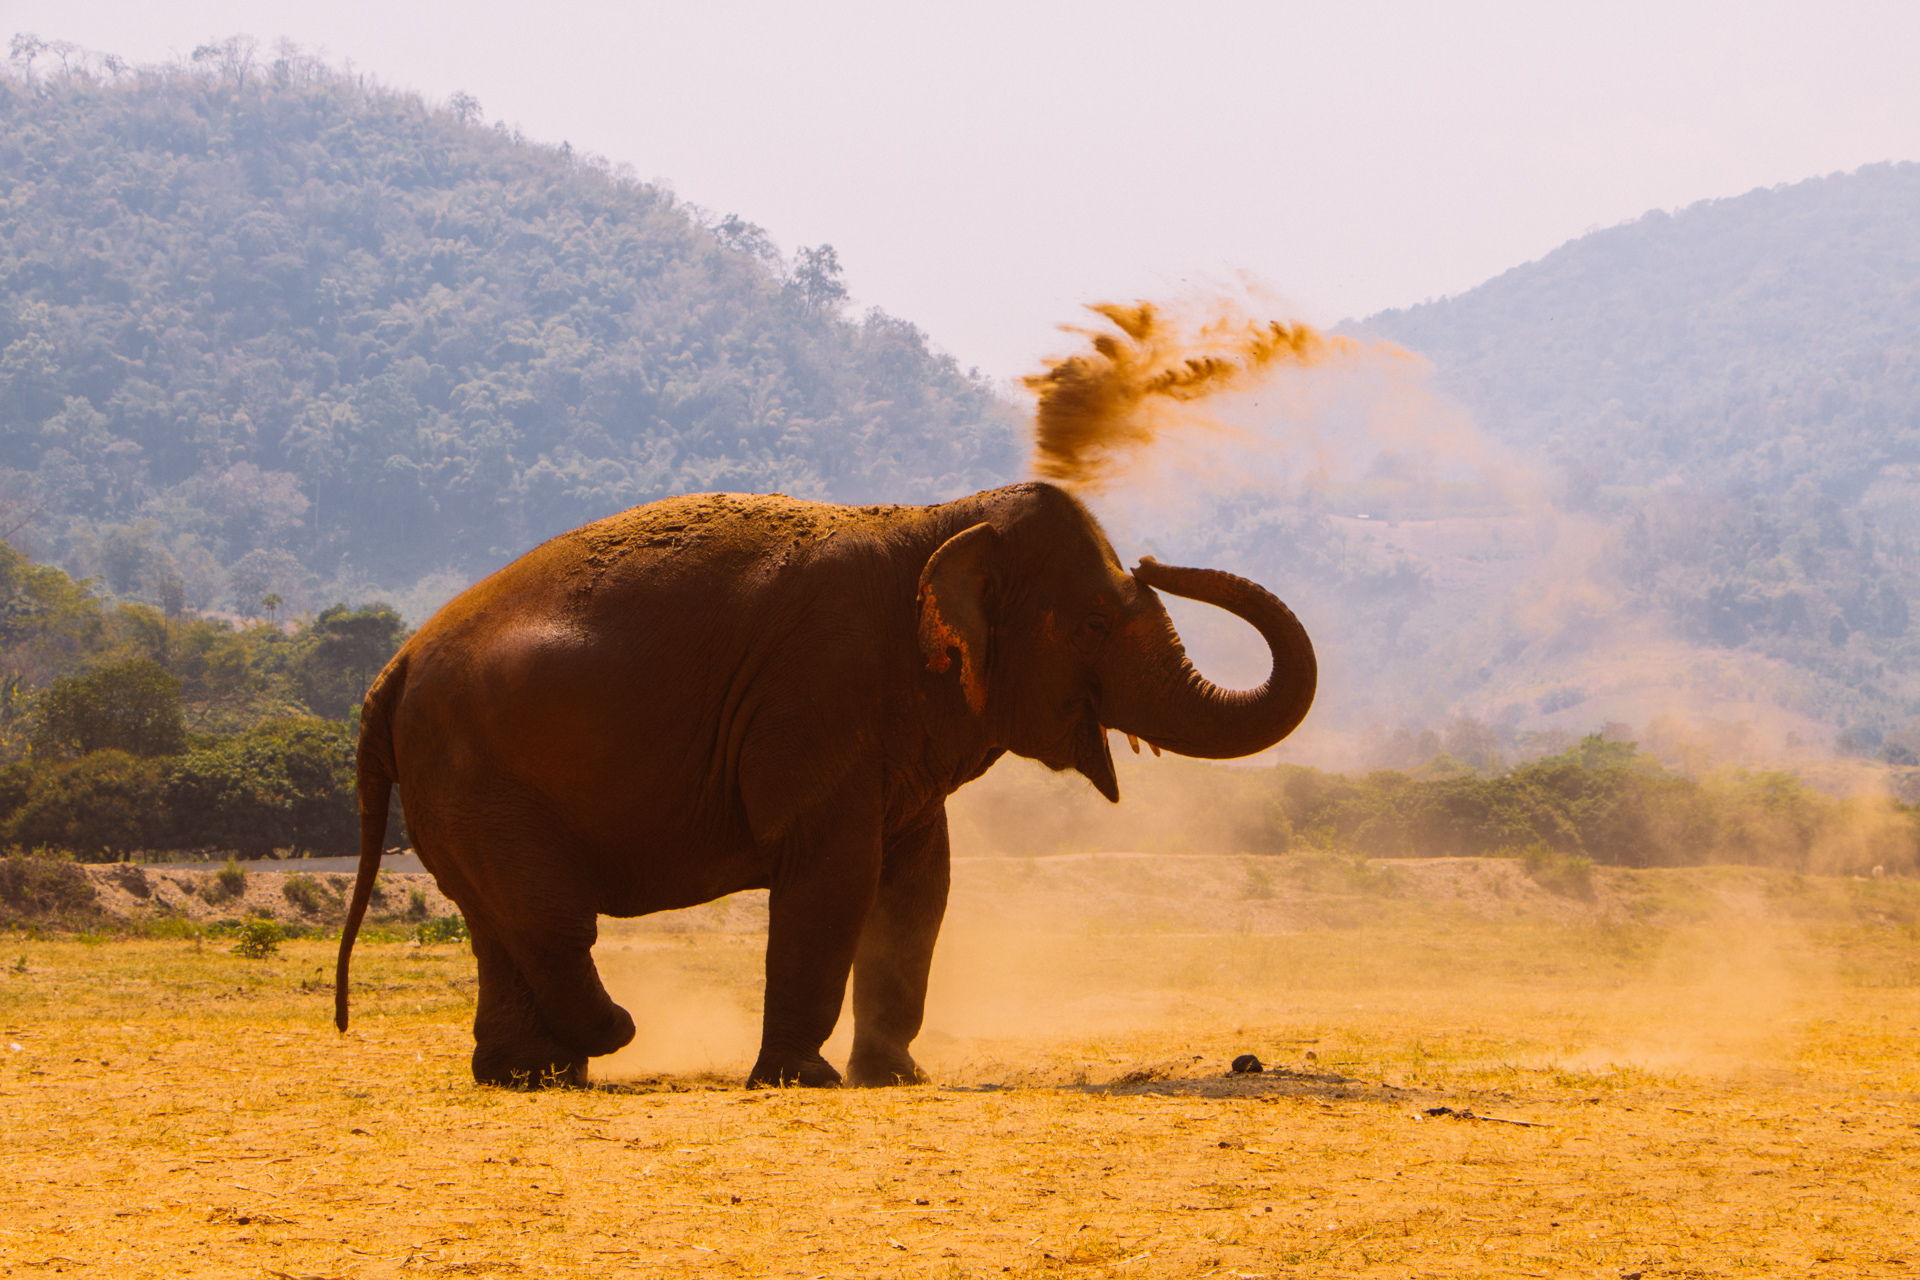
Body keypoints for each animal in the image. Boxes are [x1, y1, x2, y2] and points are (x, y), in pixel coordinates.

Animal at [337, 479, 1313, 1090]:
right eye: (1097, 622)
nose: (1154, 559)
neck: (935, 519)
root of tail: (391, 670)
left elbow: (920, 886)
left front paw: (897, 1077)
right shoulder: (814, 696)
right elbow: (833, 875)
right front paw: (801, 1078)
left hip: (456, 792)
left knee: (495, 924)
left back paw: (533, 1076)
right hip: (477, 779)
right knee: (547, 918)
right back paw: (608, 1038)